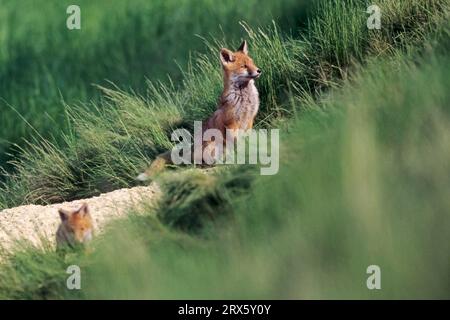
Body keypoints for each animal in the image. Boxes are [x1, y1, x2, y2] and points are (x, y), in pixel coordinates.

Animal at [139, 39, 262, 180]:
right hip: (212, 145)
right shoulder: (231, 123)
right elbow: (237, 143)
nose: (259, 70)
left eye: (252, 63)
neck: (244, 99)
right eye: (244, 66)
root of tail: (191, 148)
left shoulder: (249, 120)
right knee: (201, 163)